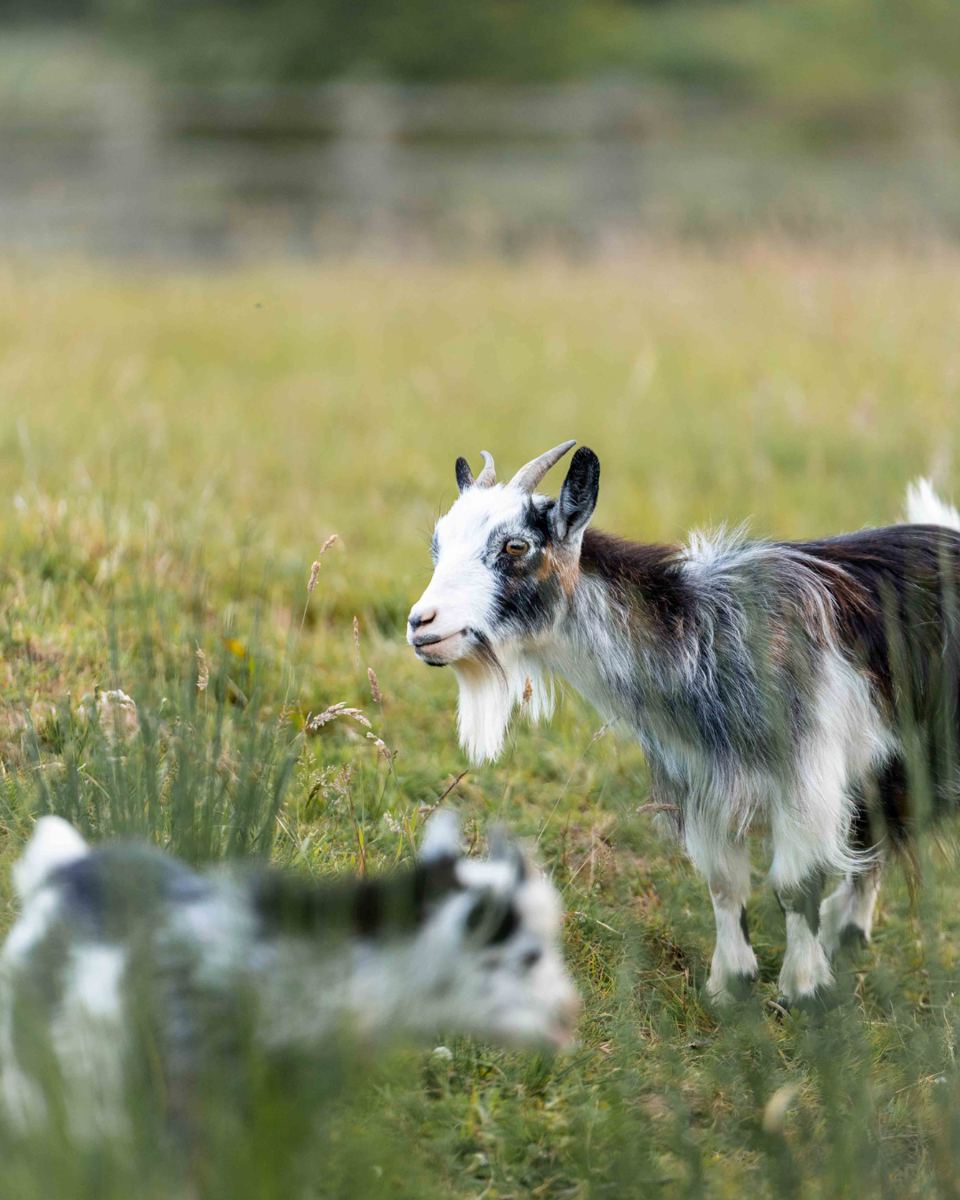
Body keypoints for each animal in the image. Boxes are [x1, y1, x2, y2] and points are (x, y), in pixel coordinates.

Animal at [407, 441, 960, 1008]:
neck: (708, 641)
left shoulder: (807, 780)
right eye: (437, 544)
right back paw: (845, 932)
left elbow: (795, 885)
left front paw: (802, 989)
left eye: (516, 546)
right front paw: (731, 984)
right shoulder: (702, 784)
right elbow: (724, 884)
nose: (421, 623)